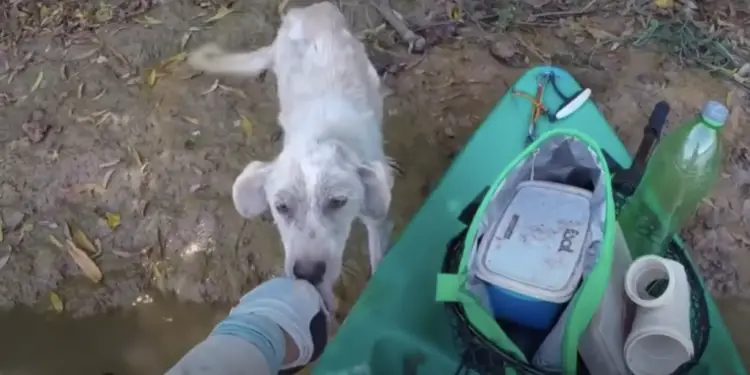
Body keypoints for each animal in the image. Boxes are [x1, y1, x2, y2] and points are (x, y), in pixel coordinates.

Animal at [189, 1, 394, 310]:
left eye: (338, 202)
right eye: (281, 207)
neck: (321, 137)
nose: (307, 273)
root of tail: (308, 9)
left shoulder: (375, 213)